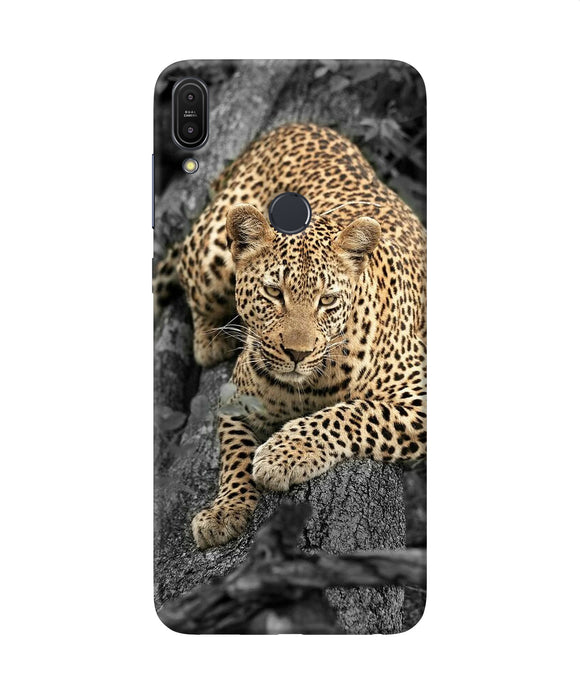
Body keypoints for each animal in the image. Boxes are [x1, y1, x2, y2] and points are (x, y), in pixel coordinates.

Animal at [155, 123, 426, 550]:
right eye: (273, 293)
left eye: (327, 300)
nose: (297, 353)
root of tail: (294, 125)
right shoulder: (235, 398)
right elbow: (234, 454)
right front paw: (225, 510)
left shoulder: (419, 395)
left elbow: (353, 413)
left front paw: (282, 454)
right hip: (212, 249)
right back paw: (211, 339)